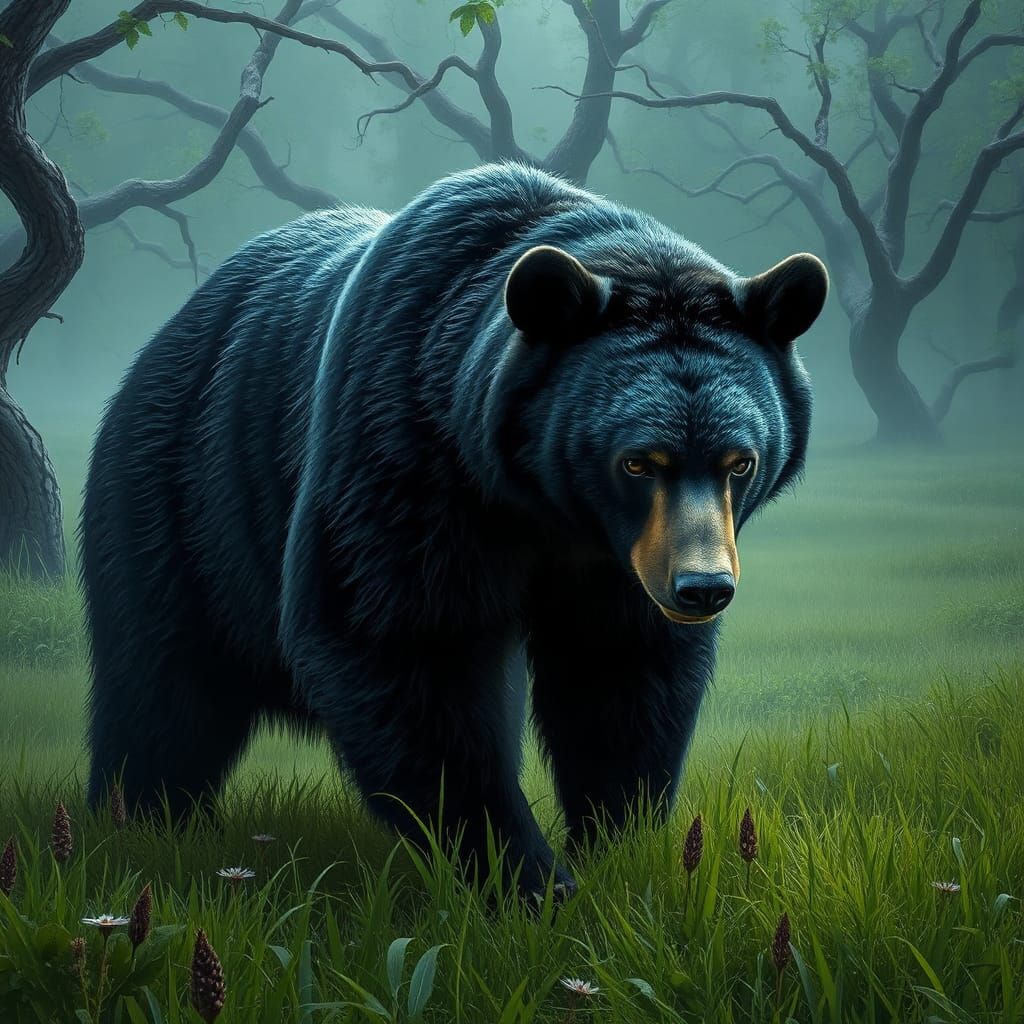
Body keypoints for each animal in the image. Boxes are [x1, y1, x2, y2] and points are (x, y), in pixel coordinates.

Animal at [81, 162, 827, 897]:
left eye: (740, 460)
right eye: (638, 461)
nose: (703, 588)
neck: (544, 508)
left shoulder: (620, 562)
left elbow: (620, 671)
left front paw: (615, 848)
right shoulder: (404, 453)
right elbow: (404, 643)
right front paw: (525, 874)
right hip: (183, 498)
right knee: (163, 690)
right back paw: (144, 821)